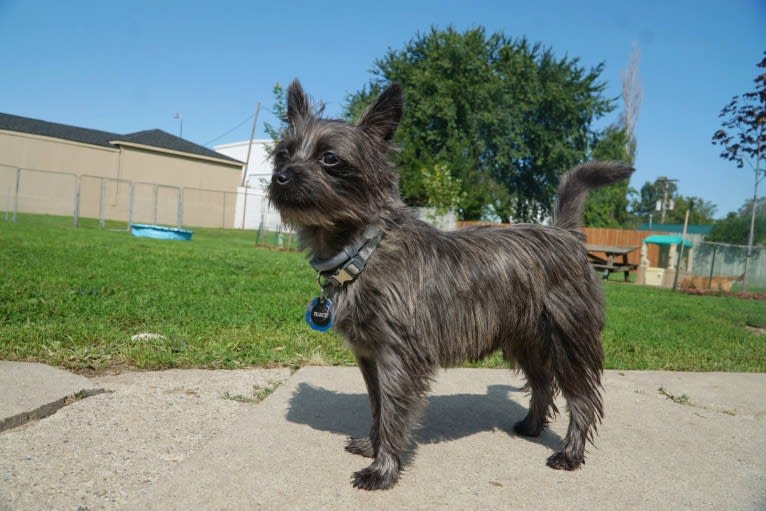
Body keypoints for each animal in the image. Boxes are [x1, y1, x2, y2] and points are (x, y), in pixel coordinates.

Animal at [270, 80, 636, 492]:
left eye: (330, 158)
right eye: (283, 154)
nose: (281, 177)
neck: (363, 249)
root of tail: (565, 233)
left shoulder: (398, 358)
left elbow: (393, 412)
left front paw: (383, 469)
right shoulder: (370, 356)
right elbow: (378, 407)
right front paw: (372, 446)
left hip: (568, 342)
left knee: (582, 398)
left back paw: (571, 453)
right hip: (525, 341)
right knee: (543, 384)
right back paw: (531, 425)